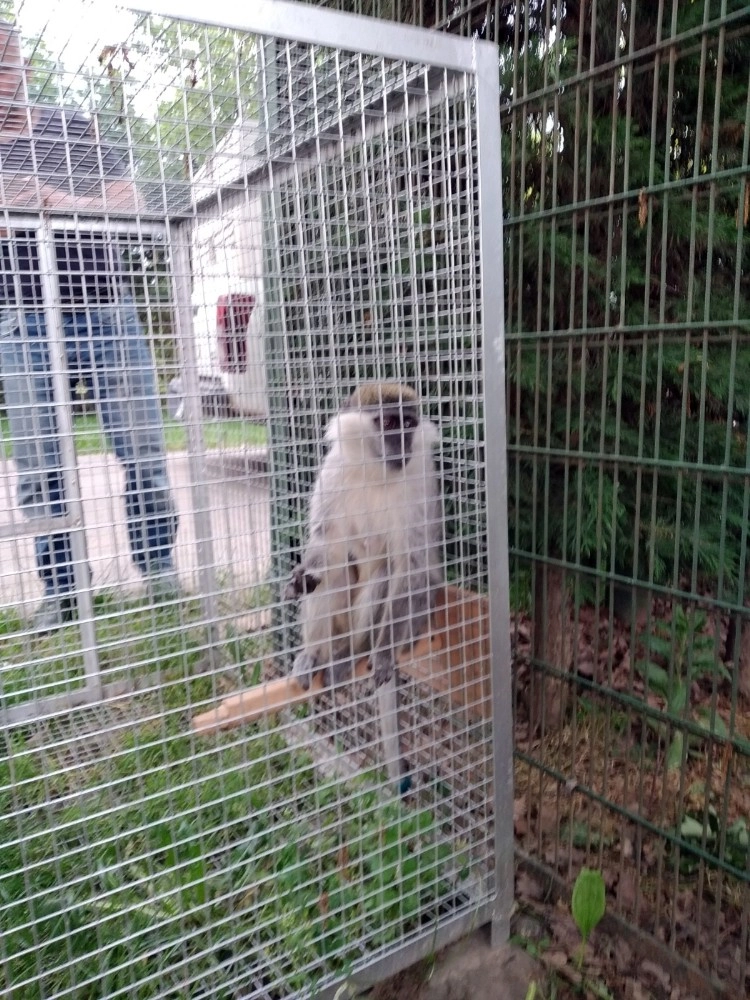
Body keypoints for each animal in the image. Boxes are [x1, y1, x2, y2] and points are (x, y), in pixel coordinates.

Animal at [284, 378, 444, 692]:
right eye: (389, 422)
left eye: (408, 423)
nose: (402, 444)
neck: (375, 473)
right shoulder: (333, 470)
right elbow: (327, 542)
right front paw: (303, 578)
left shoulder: (420, 478)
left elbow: (412, 566)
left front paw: (383, 656)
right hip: (339, 625)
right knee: (334, 575)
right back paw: (313, 655)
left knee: (387, 575)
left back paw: (354, 654)